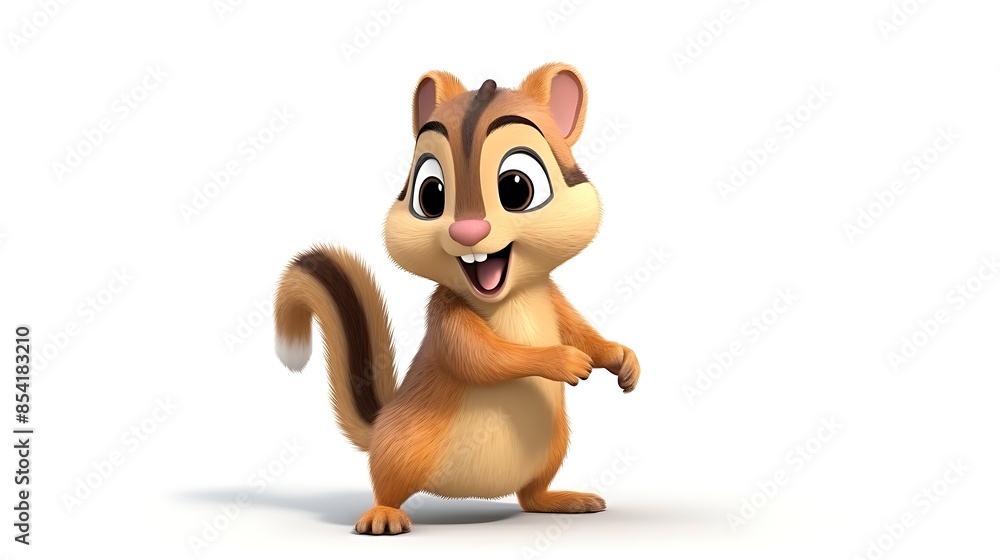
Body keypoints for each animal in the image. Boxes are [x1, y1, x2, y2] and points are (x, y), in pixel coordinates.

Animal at [274, 62, 640, 535]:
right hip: (403, 447)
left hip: (553, 446)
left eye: (517, 187)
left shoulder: (554, 298)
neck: (511, 298)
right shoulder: (446, 316)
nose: (468, 233)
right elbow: (484, 357)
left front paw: (622, 358)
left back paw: (566, 500)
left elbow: (581, 331)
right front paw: (561, 360)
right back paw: (382, 516)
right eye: (430, 194)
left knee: (530, 496)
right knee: (386, 487)